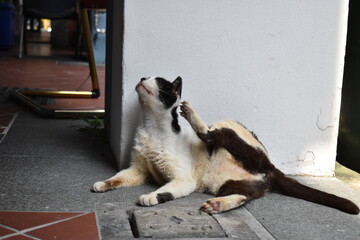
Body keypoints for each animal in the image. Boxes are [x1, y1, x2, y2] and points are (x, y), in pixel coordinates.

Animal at [93, 76, 360, 215]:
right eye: (146, 77)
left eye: (158, 81)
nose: (141, 78)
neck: (152, 127)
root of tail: (272, 167)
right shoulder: (138, 169)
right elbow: (119, 177)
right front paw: (103, 184)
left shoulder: (183, 180)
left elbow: (165, 190)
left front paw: (149, 197)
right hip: (224, 183)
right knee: (246, 196)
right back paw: (218, 204)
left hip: (231, 131)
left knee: (214, 136)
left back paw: (193, 117)